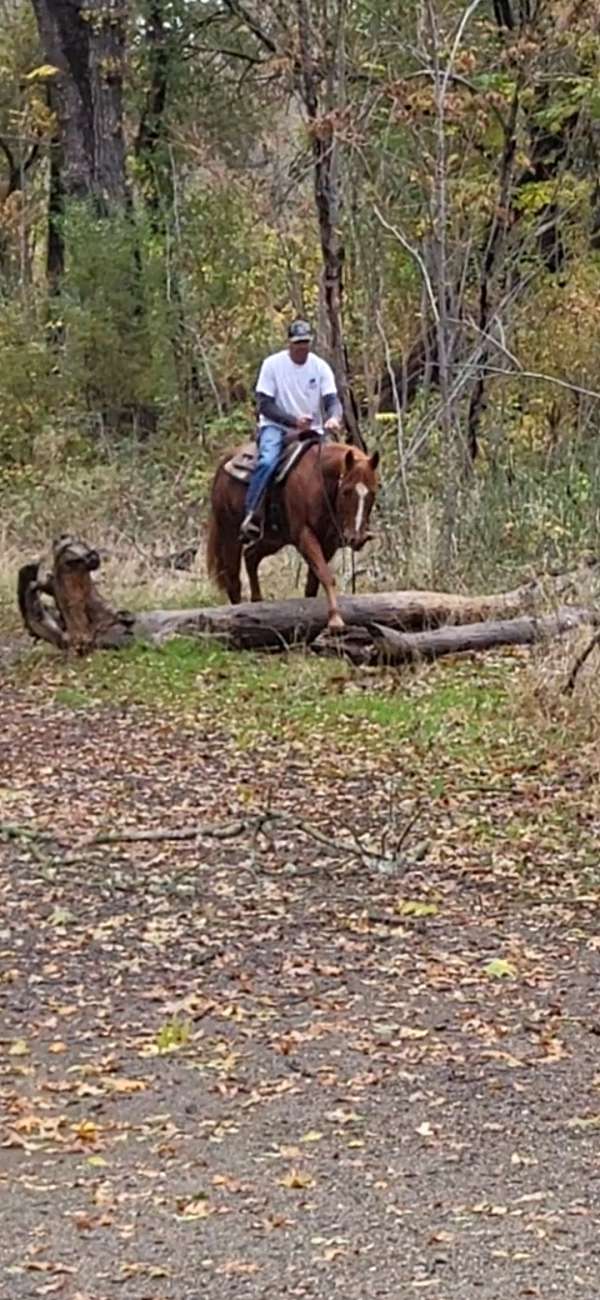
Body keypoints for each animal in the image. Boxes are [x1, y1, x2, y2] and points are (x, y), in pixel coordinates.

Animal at [207, 439, 379, 631]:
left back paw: (257, 602)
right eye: (346, 491)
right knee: (233, 579)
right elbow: (326, 575)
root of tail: (227, 459)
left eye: (373, 493)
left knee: (251, 556)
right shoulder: (305, 537)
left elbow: (313, 583)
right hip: (229, 533)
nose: (356, 538)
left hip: (274, 539)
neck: (318, 481)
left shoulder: (328, 544)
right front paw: (335, 619)